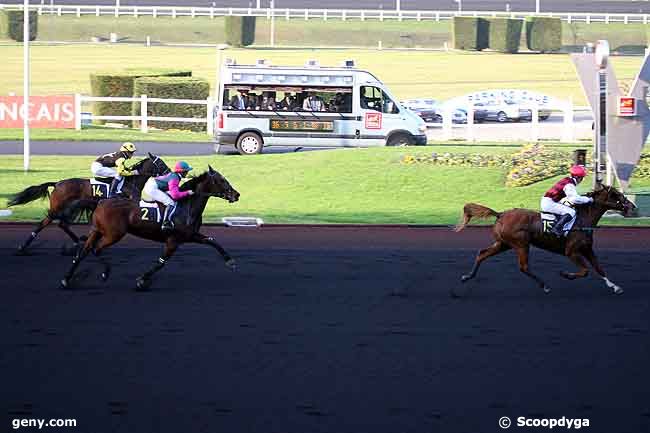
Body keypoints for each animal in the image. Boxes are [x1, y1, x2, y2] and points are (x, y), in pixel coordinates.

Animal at [7, 152, 168, 253]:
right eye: (160, 163)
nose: (169, 171)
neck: (131, 182)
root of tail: (57, 183)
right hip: (59, 208)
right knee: (45, 223)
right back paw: (23, 247)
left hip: (69, 208)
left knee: (62, 224)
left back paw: (78, 241)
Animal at [58, 165, 238, 290]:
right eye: (222, 180)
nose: (237, 194)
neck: (186, 206)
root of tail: (101, 201)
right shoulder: (173, 241)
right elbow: (161, 262)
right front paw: (142, 281)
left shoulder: (190, 235)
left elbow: (212, 240)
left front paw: (230, 261)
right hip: (113, 234)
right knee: (96, 249)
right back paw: (105, 272)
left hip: (96, 230)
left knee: (83, 251)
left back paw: (66, 279)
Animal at [450, 184, 632, 296]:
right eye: (616, 195)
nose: (631, 206)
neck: (582, 219)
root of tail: (501, 214)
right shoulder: (571, 251)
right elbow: (585, 271)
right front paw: (566, 274)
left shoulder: (587, 249)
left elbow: (599, 269)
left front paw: (615, 287)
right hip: (521, 244)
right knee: (523, 267)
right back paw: (544, 286)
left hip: (504, 244)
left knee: (482, 254)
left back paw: (467, 276)